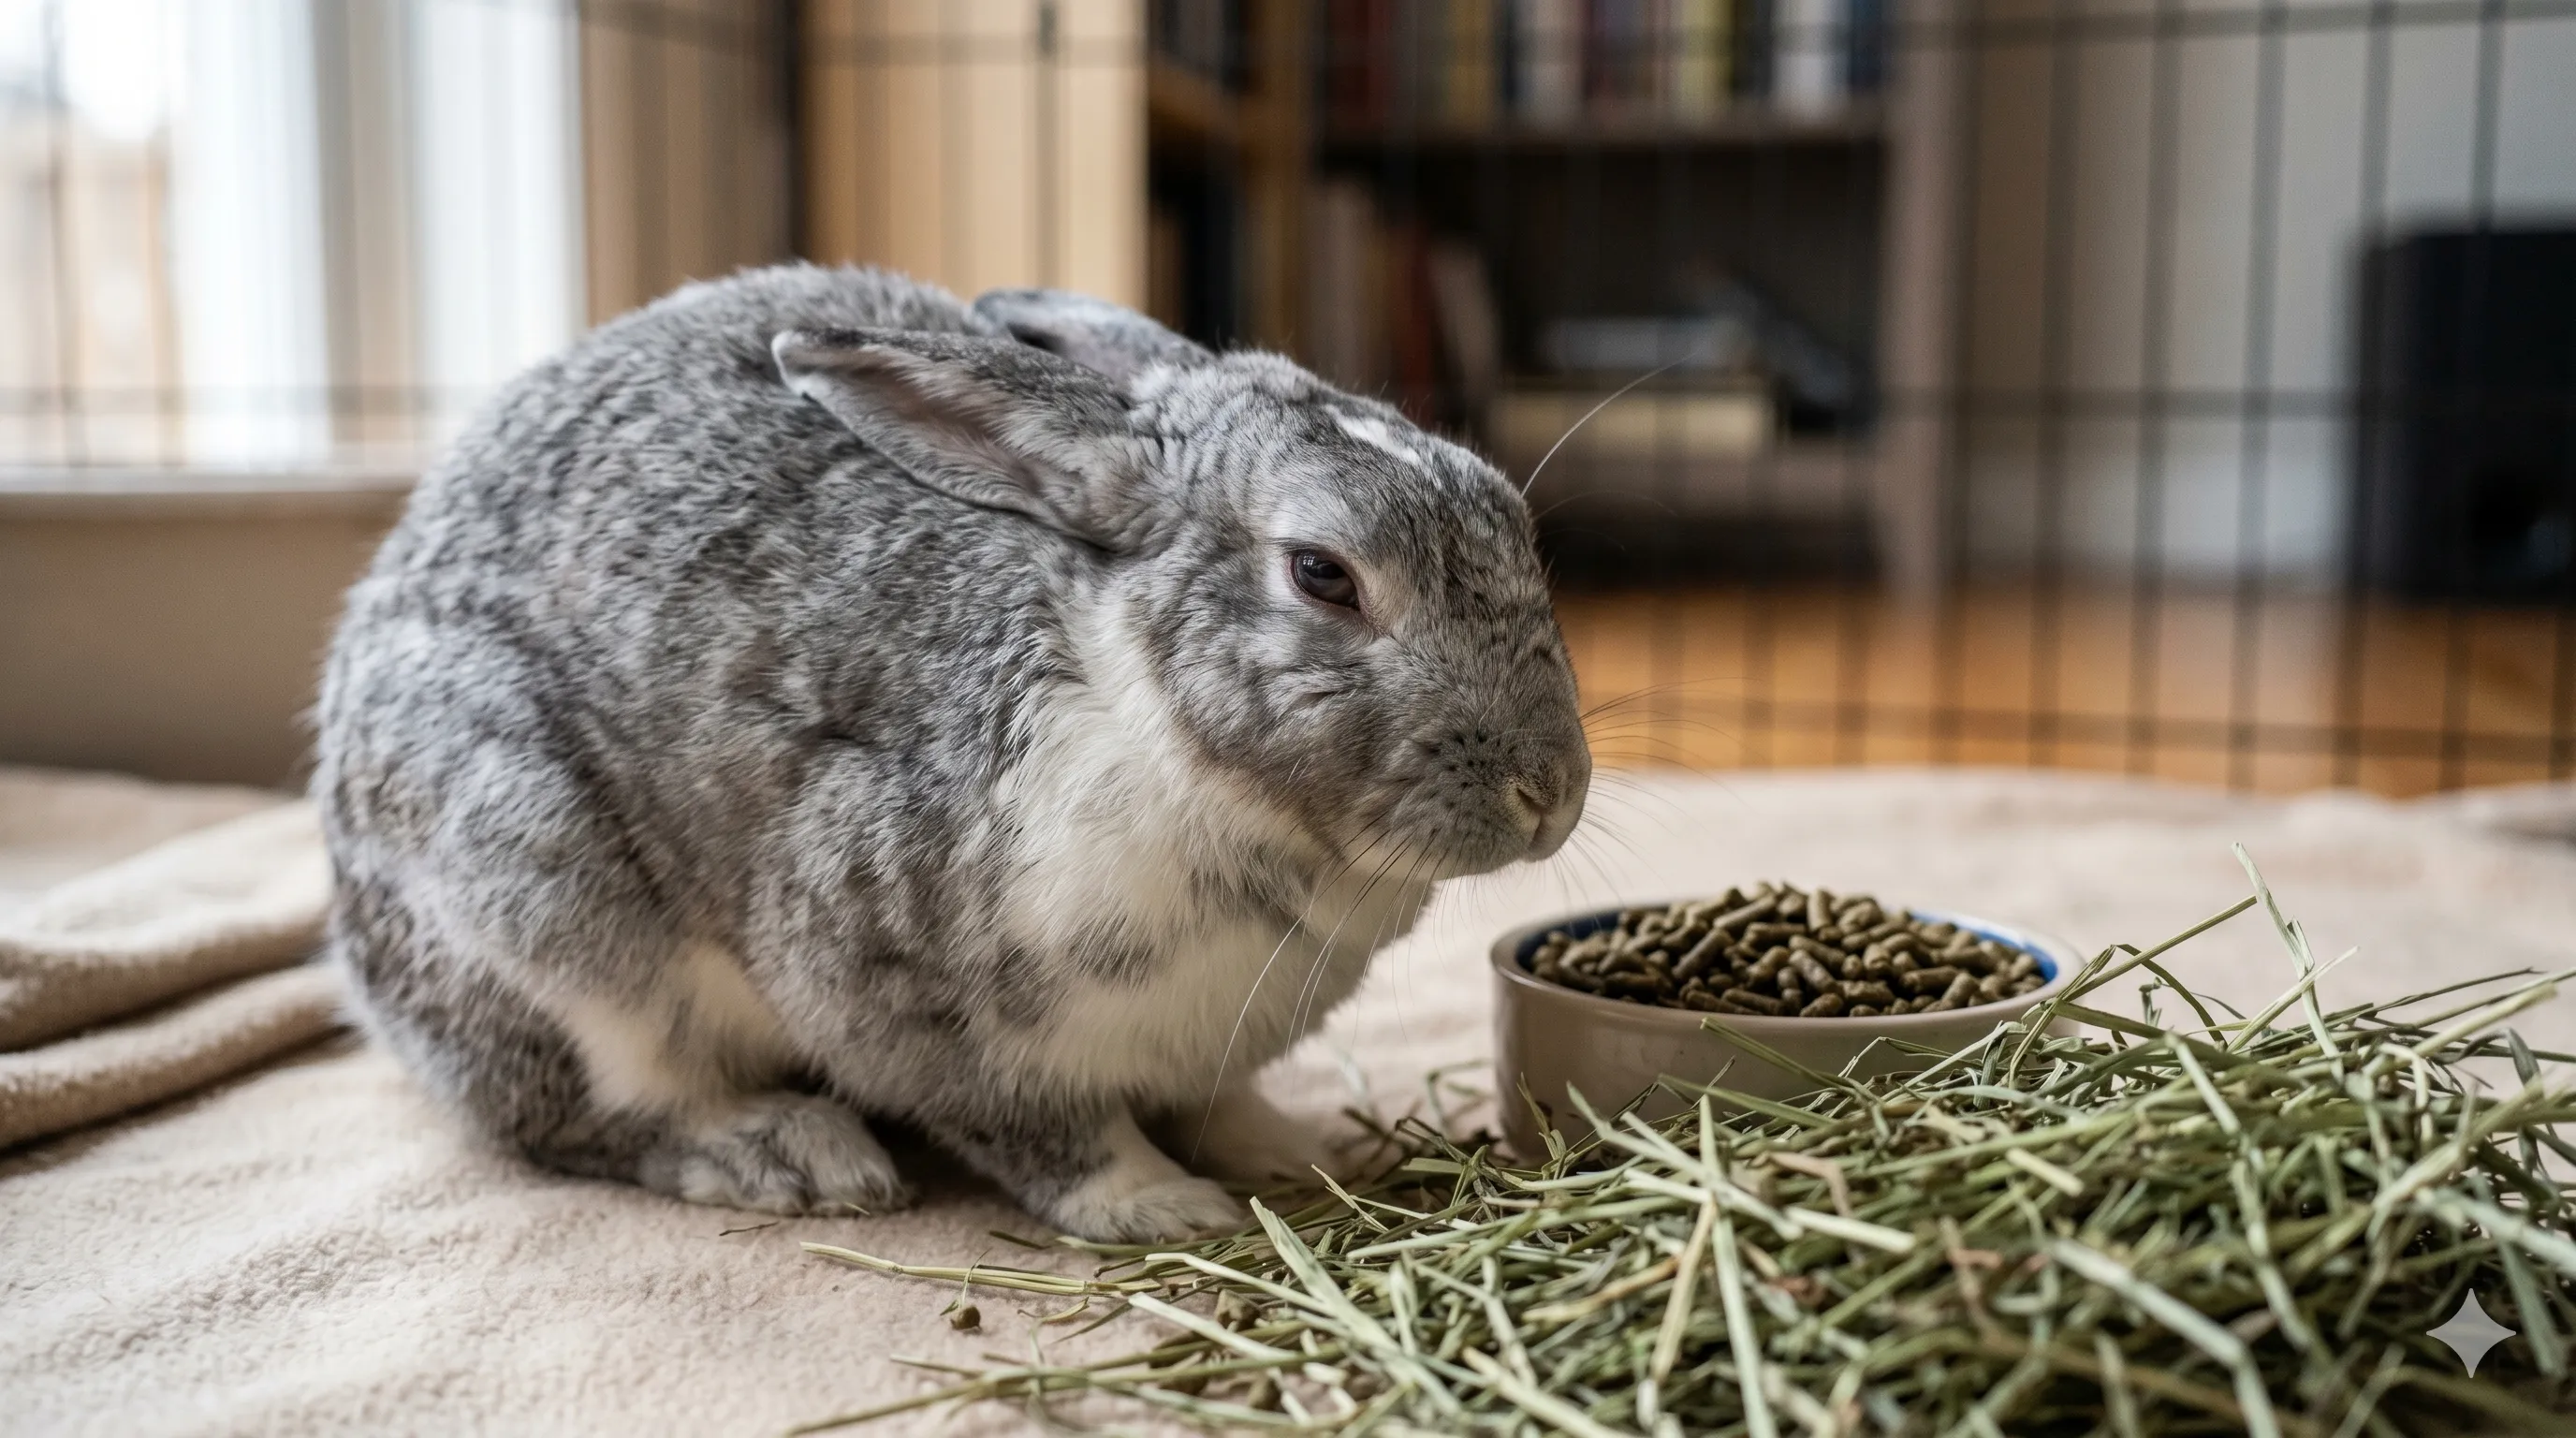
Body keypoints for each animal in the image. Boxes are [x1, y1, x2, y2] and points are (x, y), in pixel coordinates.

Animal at [314, 263, 1590, 1242]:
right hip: (545, 909)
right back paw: (790, 1155)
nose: (1549, 793)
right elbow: (1048, 1136)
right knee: (590, 1112)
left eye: (1515, 529)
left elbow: (1219, 1101)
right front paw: (1165, 1207)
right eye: (1322, 574)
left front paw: (1281, 1152)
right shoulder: (906, 994)